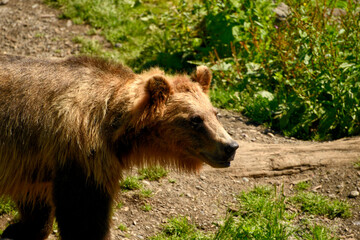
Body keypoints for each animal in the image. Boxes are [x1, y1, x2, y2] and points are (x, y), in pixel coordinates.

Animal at [0, 54, 239, 240]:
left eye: (215, 113)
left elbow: (37, 198)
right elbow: (84, 213)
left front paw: (19, 228)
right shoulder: (81, 153)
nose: (230, 146)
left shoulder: (37, 158)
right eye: (195, 119)